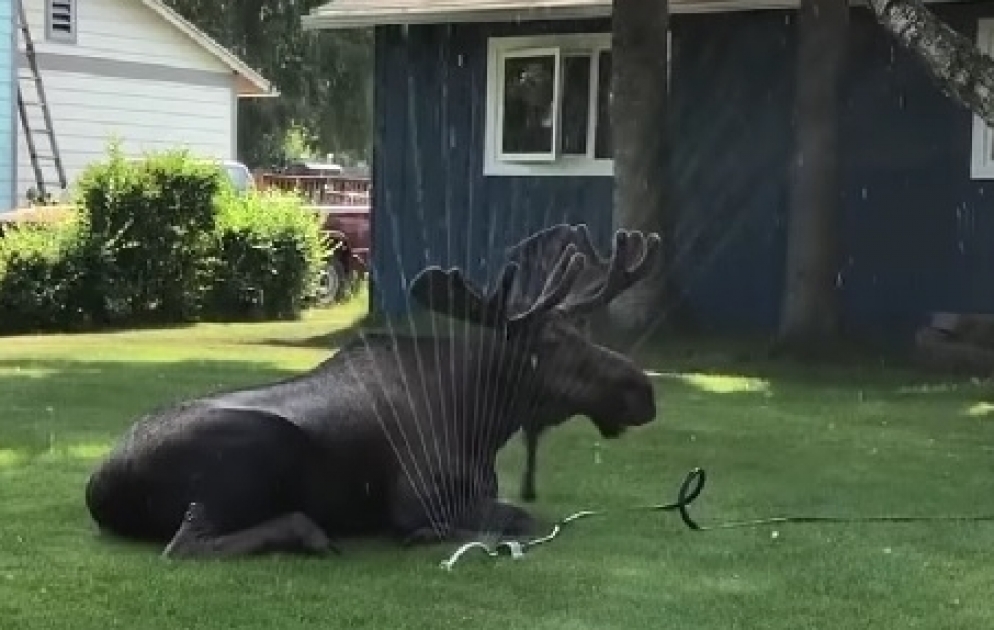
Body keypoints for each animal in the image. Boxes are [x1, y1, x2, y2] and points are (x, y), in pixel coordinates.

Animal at [83, 225, 662, 559]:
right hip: (254, 448)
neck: (485, 423)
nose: (644, 392)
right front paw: (432, 536)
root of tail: (99, 488)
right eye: (552, 343)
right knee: (186, 543)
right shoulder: (415, 498)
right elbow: (519, 518)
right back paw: (308, 532)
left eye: (583, 332)